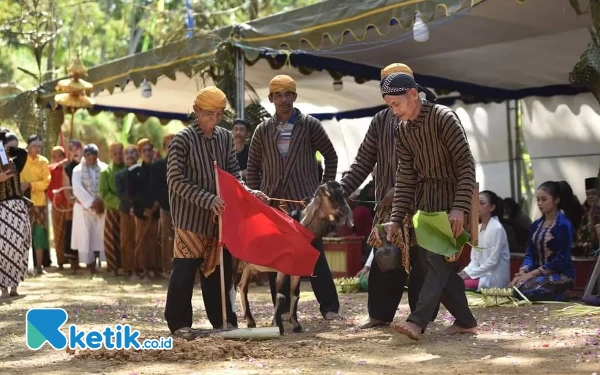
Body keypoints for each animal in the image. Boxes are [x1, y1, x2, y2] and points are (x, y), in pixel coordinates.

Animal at [233, 181, 352, 336]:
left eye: (343, 192)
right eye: (327, 194)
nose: (344, 209)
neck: (300, 227)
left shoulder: (297, 268)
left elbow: (295, 294)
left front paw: (296, 324)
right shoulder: (282, 268)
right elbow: (280, 295)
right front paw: (277, 324)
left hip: (248, 266)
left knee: (242, 287)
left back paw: (250, 321)